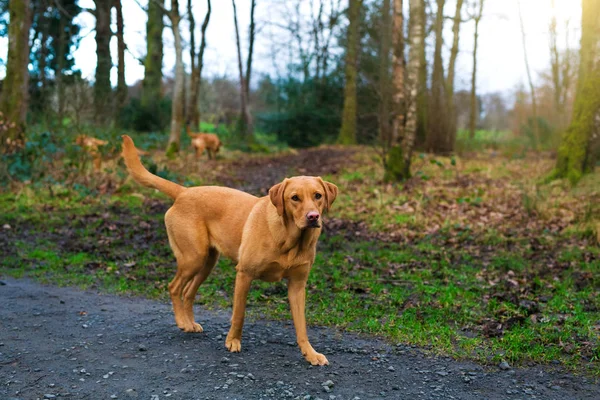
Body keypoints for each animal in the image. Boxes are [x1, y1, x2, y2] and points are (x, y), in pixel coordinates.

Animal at [122, 135, 338, 366]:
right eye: (294, 198)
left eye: (318, 196)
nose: (313, 217)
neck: (291, 239)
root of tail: (184, 191)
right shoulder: (244, 274)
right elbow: (239, 314)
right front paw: (233, 341)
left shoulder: (297, 285)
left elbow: (302, 326)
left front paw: (310, 353)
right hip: (193, 258)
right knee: (174, 287)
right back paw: (181, 321)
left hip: (207, 262)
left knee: (188, 292)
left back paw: (189, 323)